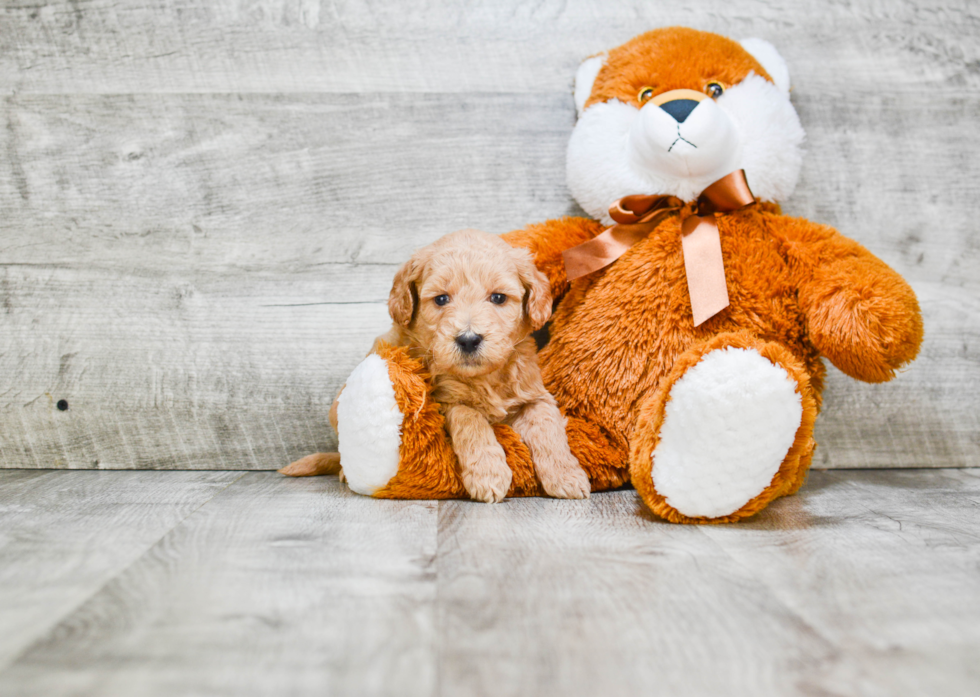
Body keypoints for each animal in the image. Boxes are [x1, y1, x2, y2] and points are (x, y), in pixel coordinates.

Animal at [282, 231, 588, 502]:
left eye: (498, 298)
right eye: (441, 299)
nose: (468, 339)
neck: (483, 377)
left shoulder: (534, 395)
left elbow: (547, 426)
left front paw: (567, 476)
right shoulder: (445, 399)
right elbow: (470, 419)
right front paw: (488, 474)